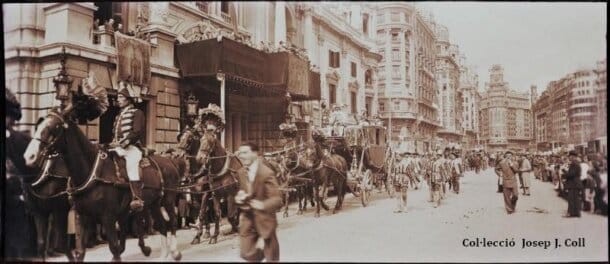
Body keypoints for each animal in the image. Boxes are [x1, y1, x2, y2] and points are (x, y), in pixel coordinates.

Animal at [23, 109, 183, 262]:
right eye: (38, 126)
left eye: (54, 127)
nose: (30, 156)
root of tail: (170, 162)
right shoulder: (80, 215)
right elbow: (79, 251)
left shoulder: (107, 216)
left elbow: (114, 247)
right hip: (153, 204)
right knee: (161, 225)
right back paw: (161, 254)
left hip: (167, 200)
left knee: (172, 222)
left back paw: (174, 252)